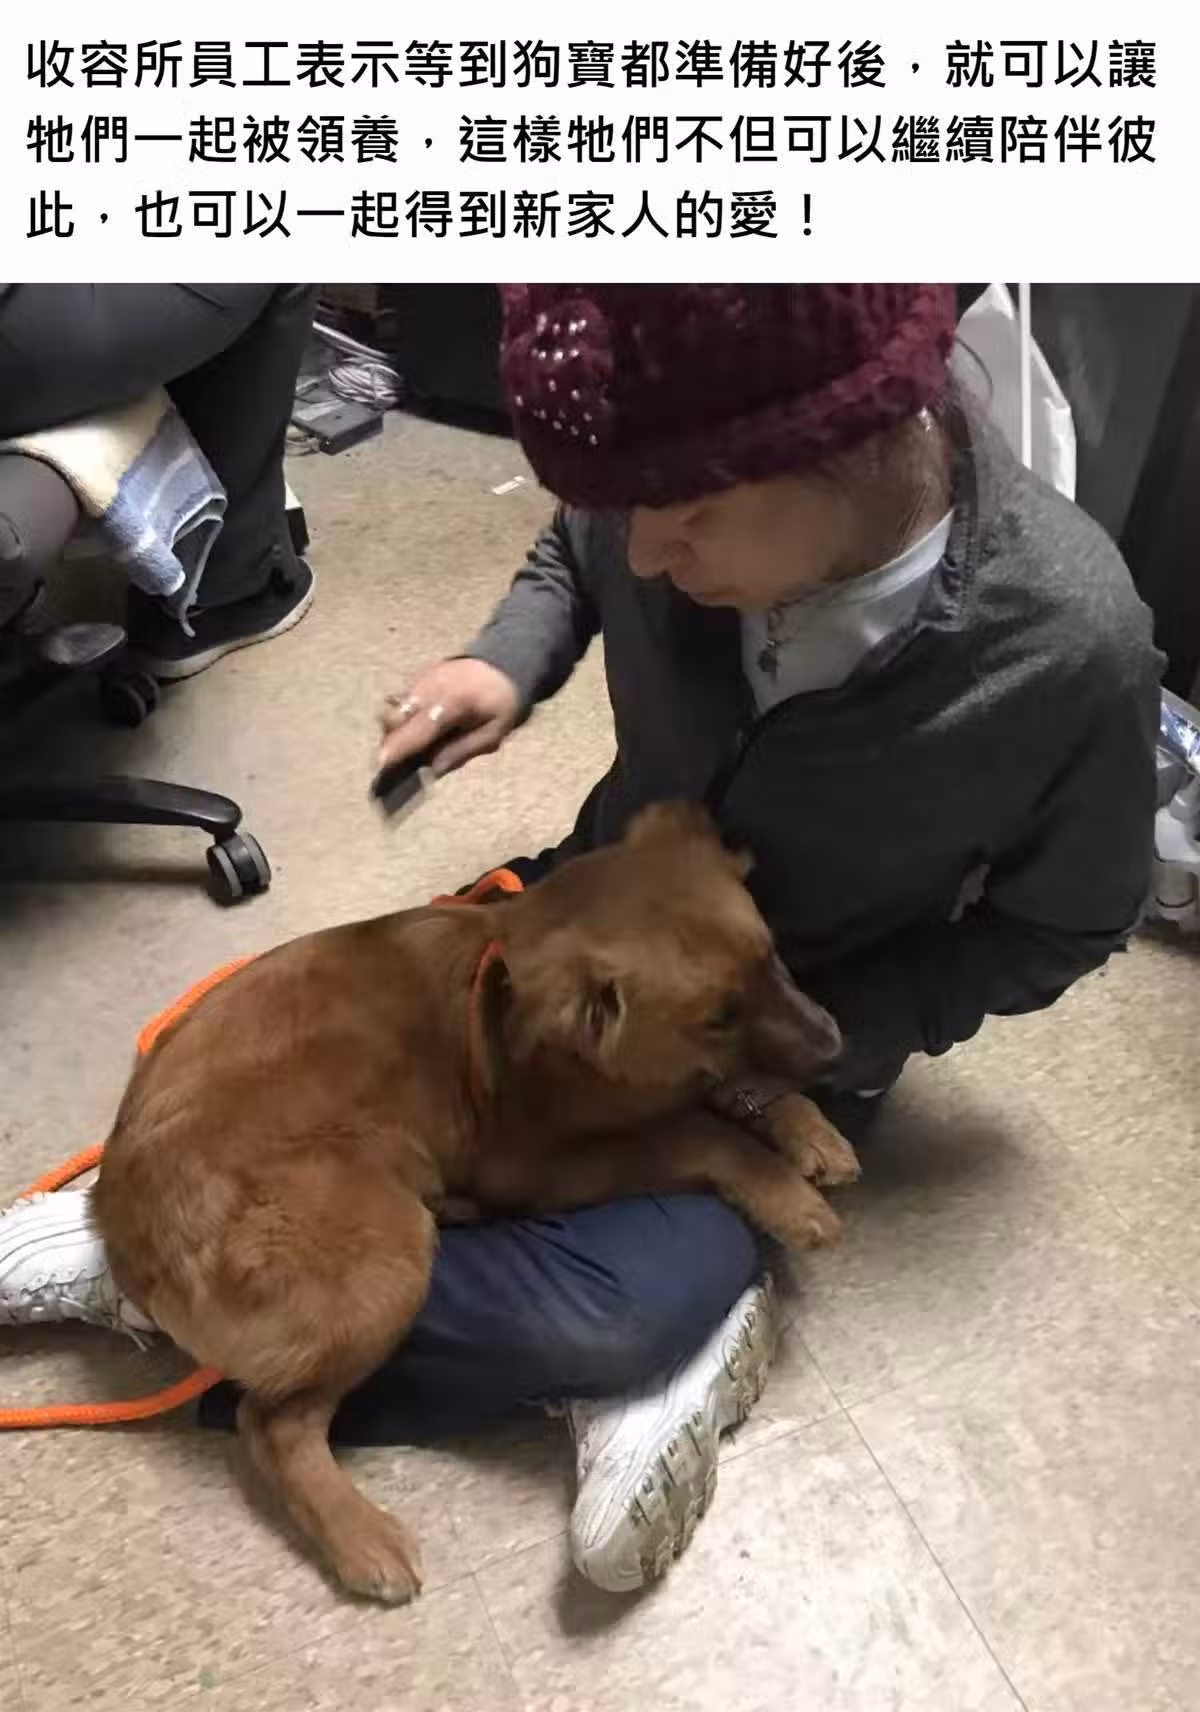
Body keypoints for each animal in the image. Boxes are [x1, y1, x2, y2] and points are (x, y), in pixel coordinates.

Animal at [93, 803, 860, 1603]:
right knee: (269, 1420)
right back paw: (361, 1538)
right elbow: (698, 1129)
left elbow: (725, 1093)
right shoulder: (537, 1165)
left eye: (772, 958)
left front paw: (808, 1128)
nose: (838, 1049)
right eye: (719, 1015)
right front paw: (786, 1192)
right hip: (386, 1256)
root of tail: (114, 1225)